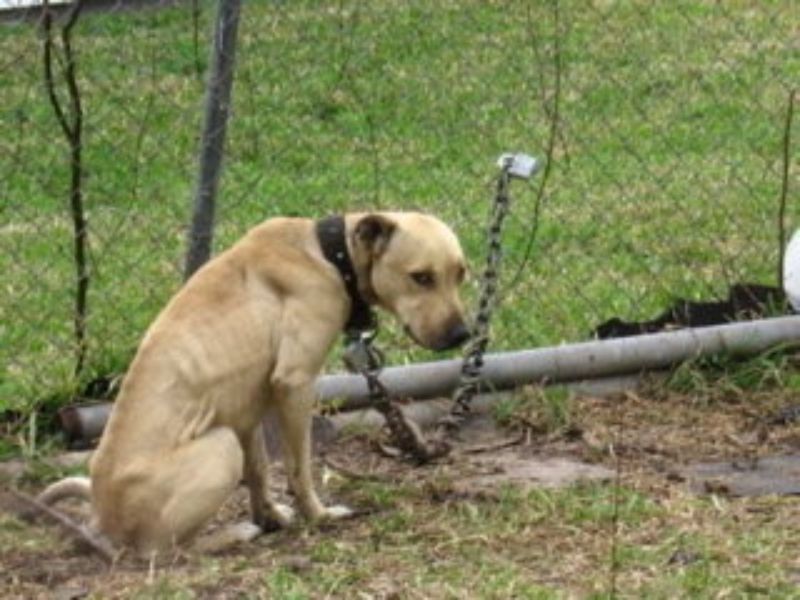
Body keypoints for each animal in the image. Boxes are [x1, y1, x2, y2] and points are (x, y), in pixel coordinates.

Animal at [40, 213, 468, 556]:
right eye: (421, 277)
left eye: (461, 274)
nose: (462, 335)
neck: (331, 256)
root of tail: (102, 514)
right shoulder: (295, 385)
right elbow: (299, 468)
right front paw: (318, 515)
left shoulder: (248, 410)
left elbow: (260, 471)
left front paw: (272, 516)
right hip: (220, 446)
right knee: (163, 550)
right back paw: (230, 535)